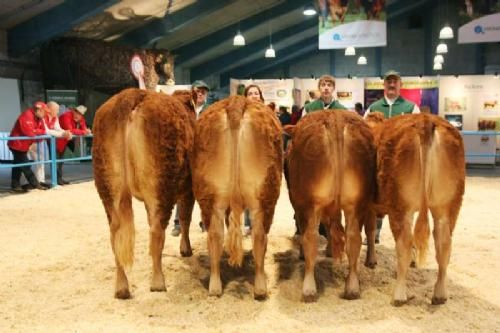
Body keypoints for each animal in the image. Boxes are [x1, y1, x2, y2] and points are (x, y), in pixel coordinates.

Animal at [92, 87, 195, 296]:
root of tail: (131, 95)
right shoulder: (189, 190)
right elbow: (185, 218)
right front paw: (186, 249)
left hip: (108, 185)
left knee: (116, 235)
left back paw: (121, 288)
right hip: (160, 186)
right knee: (156, 231)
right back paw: (157, 282)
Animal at [191, 95, 282, 298]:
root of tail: (236, 101)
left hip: (211, 197)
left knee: (215, 235)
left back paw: (215, 286)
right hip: (265, 196)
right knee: (259, 236)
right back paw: (260, 288)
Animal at [286, 109, 376, 300]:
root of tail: (336, 117)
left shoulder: (299, 204)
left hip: (311, 203)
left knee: (310, 237)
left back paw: (309, 289)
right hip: (356, 203)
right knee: (354, 238)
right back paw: (352, 287)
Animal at [370, 113, 466, 304]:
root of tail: (426, 119)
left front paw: (370, 260)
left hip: (401, 206)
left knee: (404, 244)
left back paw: (399, 295)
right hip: (447, 206)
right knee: (443, 245)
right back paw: (440, 294)